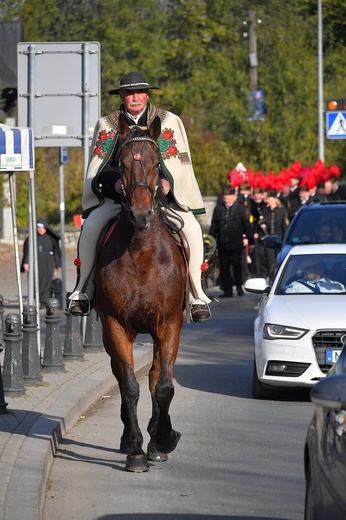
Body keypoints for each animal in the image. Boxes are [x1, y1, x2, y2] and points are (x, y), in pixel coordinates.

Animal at [94, 116, 187, 474]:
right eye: (120, 162)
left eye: (157, 163)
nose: (140, 214)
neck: (142, 254)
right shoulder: (116, 326)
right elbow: (129, 387)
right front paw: (135, 451)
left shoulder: (169, 325)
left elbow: (163, 386)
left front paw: (162, 440)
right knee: (123, 378)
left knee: (155, 376)